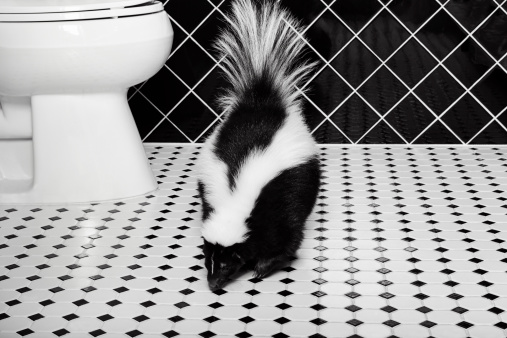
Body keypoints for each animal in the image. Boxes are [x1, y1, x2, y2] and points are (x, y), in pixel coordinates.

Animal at [196, 0, 320, 290]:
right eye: (208, 260)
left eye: (227, 263)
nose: (213, 284)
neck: (235, 197)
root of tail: (260, 101)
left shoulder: (279, 206)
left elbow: (288, 240)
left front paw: (263, 267)